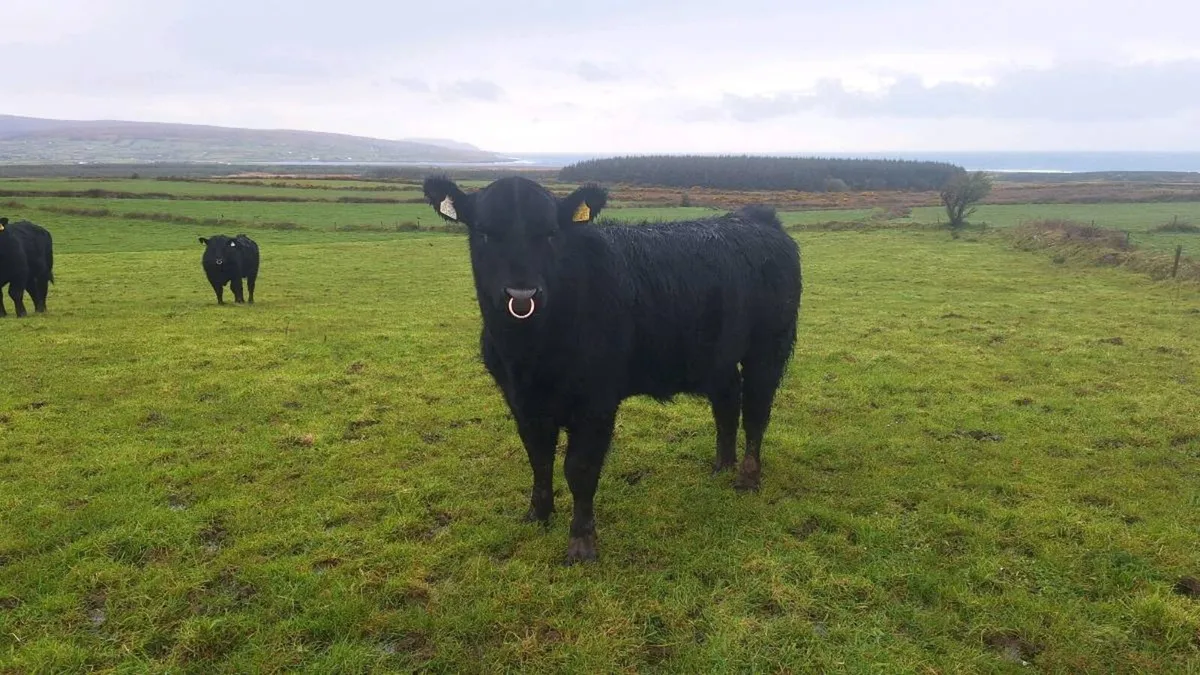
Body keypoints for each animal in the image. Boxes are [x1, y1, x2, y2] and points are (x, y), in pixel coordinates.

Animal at [422, 175, 802, 564]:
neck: (528, 357)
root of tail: (757, 218)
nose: (522, 294)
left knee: (756, 412)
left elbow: (579, 469)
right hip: (718, 356)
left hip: (769, 348)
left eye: (550, 233)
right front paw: (538, 515)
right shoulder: (521, 402)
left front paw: (581, 543)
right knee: (726, 404)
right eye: (484, 232)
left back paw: (747, 478)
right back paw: (721, 467)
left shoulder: (597, 402)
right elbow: (539, 459)